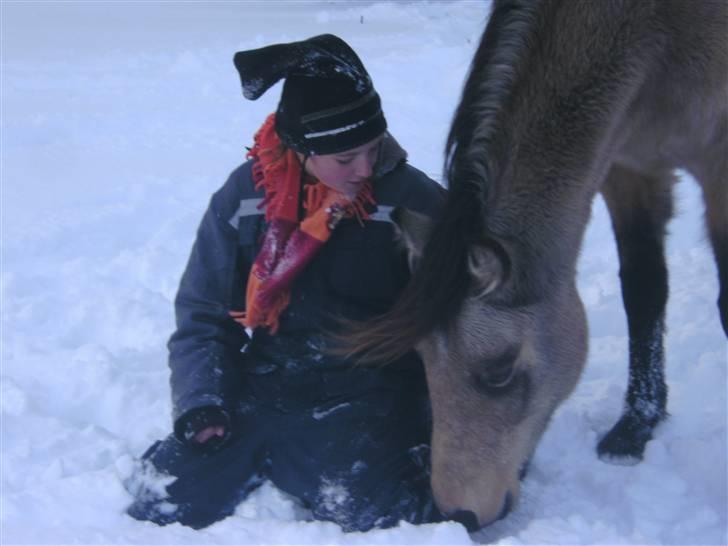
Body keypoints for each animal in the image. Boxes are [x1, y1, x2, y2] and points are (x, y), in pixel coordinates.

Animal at [346, 0, 728, 528]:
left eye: (500, 371)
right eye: (420, 357)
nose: (460, 513)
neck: (662, 35)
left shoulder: (719, 163)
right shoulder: (628, 164)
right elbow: (644, 288)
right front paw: (636, 426)